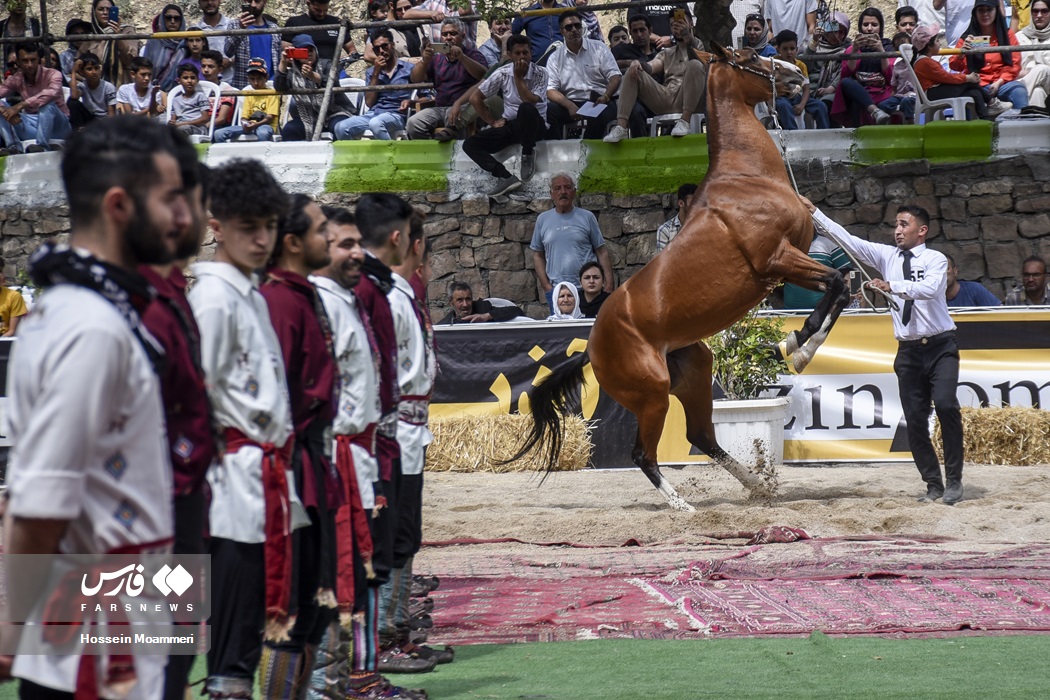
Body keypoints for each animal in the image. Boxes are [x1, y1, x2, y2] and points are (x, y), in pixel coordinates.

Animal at [512, 46, 856, 512]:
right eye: (752, 57)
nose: (797, 75)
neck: (747, 179)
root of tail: (593, 348)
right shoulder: (778, 259)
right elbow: (837, 283)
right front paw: (796, 345)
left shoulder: (787, 267)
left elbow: (841, 286)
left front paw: (797, 343)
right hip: (653, 394)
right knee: (644, 453)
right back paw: (683, 507)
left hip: (693, 374)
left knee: (702, 436)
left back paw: (755, 484)